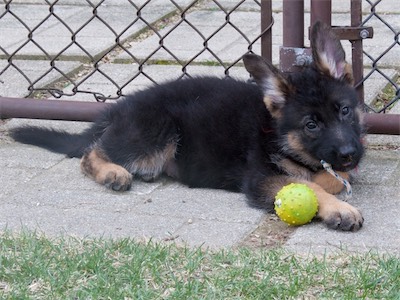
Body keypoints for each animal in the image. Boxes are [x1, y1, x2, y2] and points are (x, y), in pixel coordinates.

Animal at [10, 21, 366, 232]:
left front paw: (332, 179)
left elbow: (333, 178)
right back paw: (113, 173)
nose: (351, 154)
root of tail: (117, 109)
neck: (277, 133)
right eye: (311, 125)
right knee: (90, 153)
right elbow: (312, 187)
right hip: (157, 130)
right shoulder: (261, 179)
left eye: (345, 111)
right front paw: (339, 209)